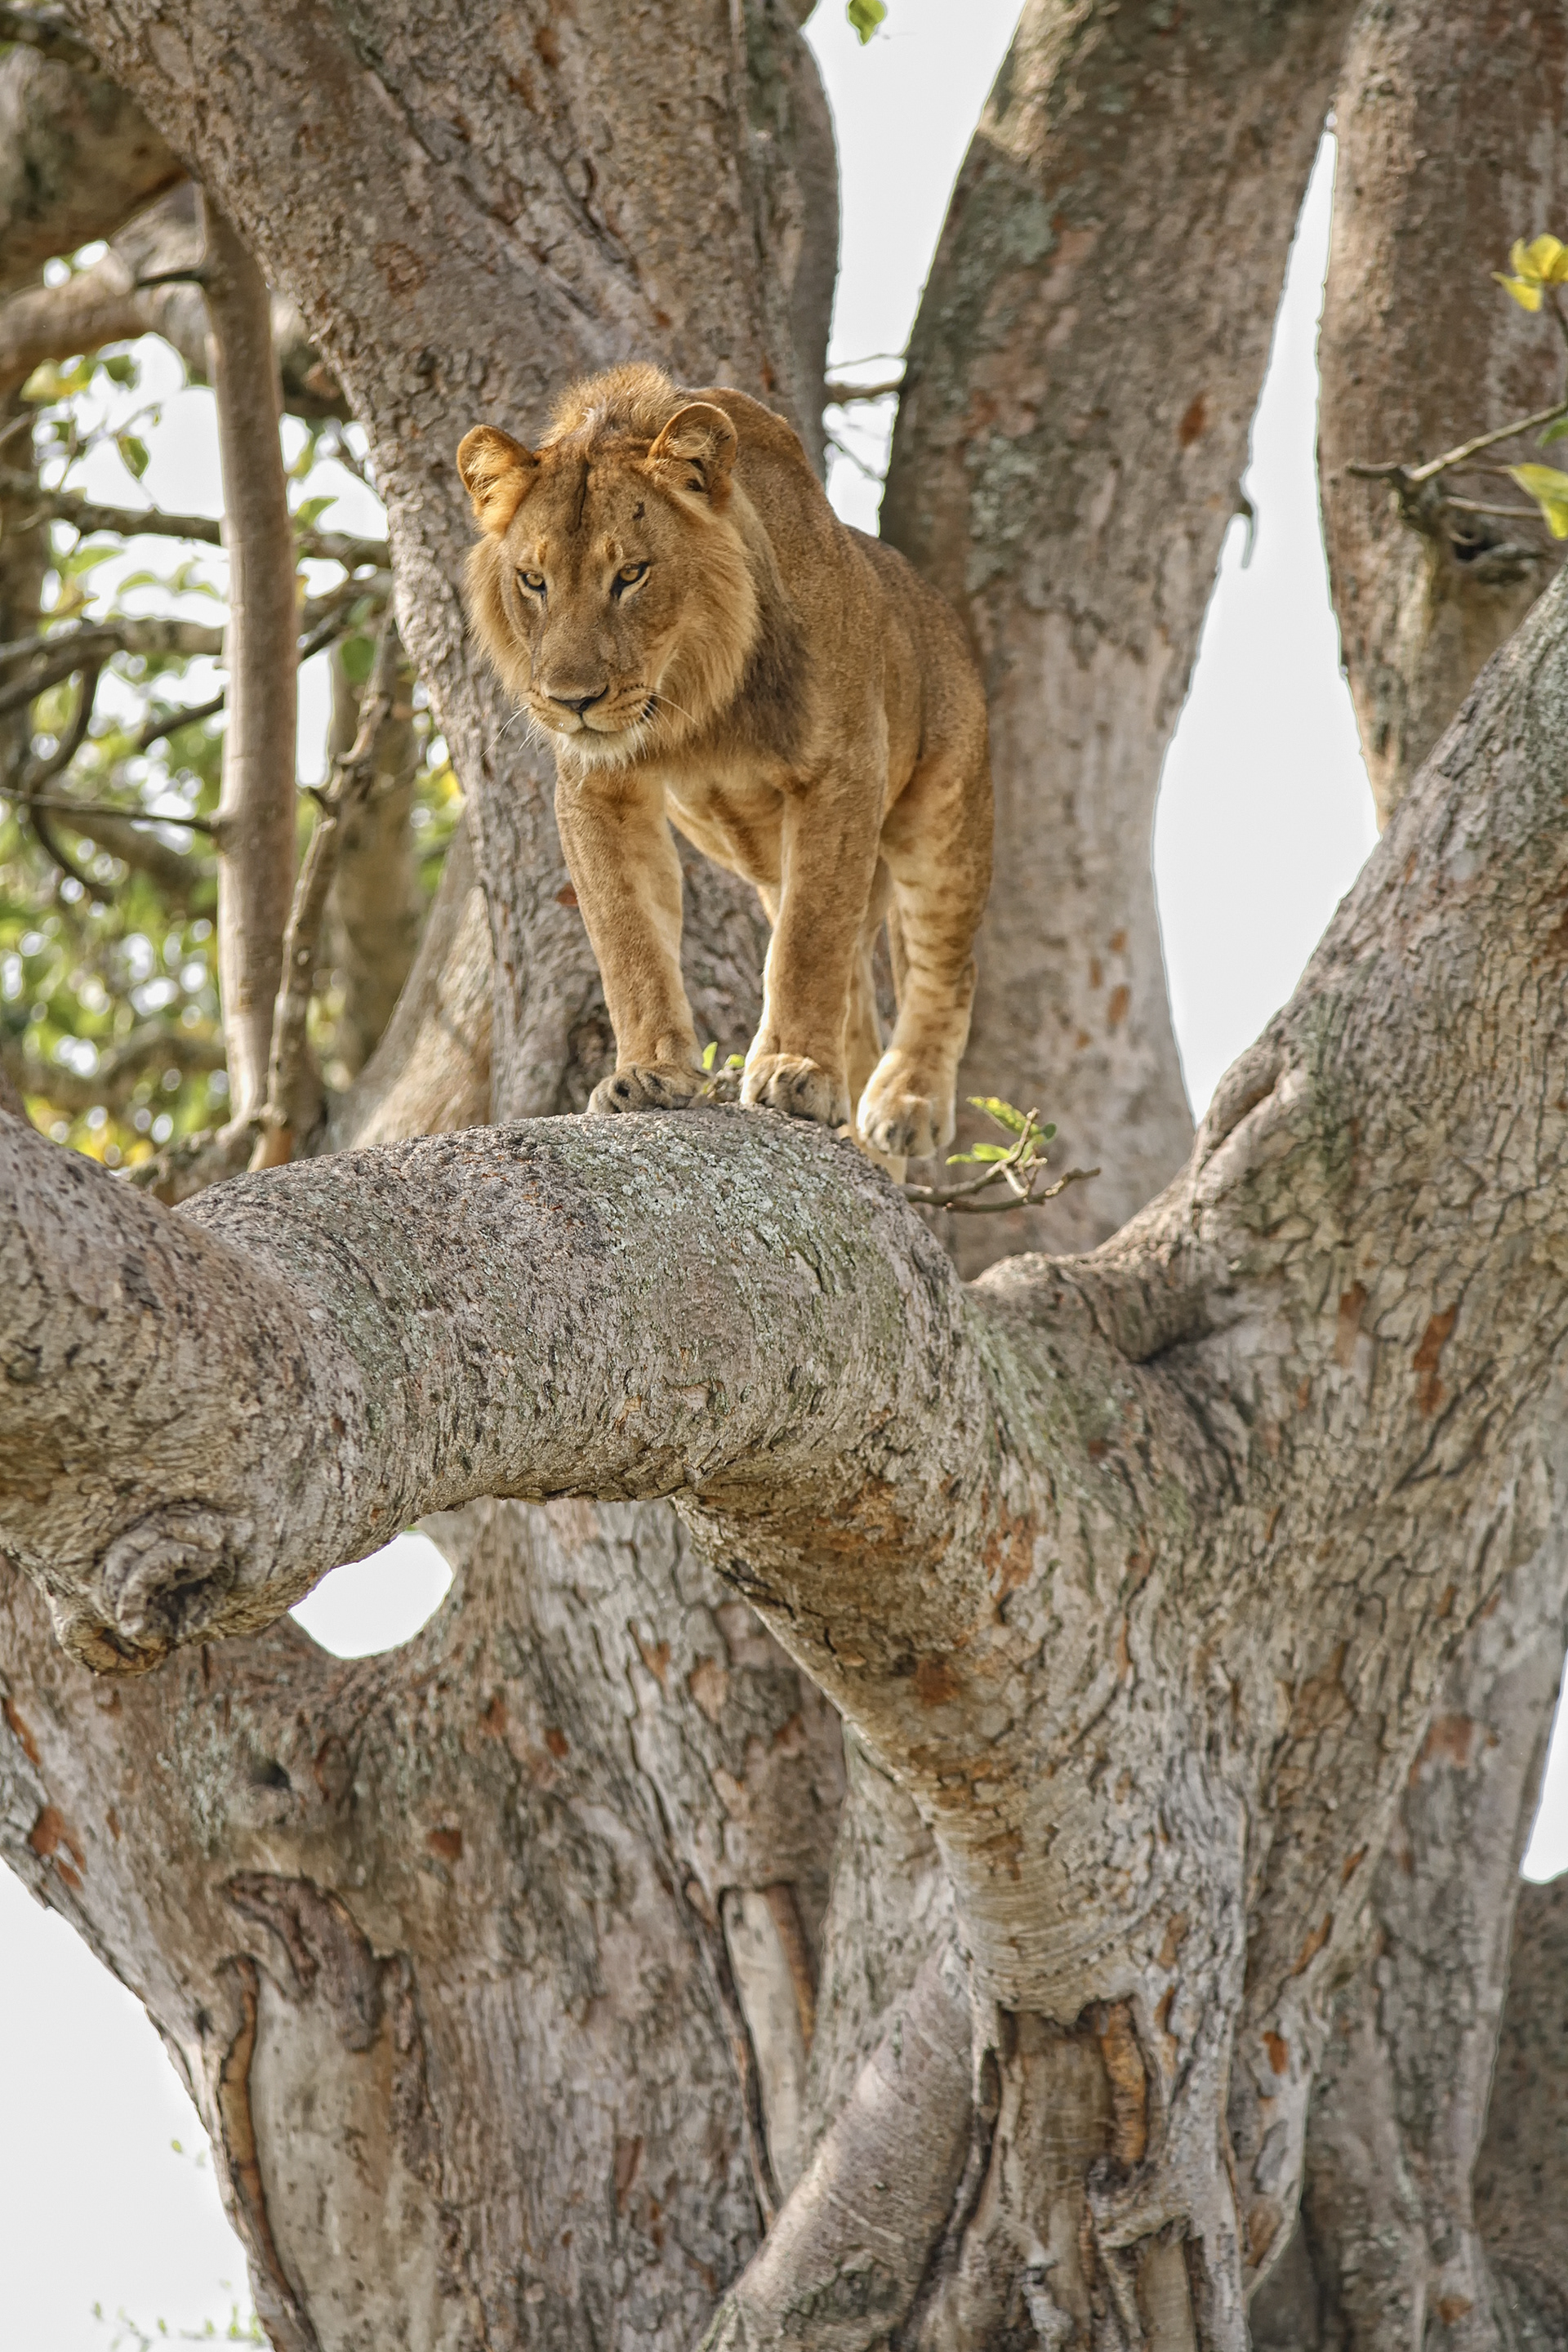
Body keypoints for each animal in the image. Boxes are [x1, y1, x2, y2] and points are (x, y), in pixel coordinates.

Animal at [456, 362, 992, 1167]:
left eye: (631, 575)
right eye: (534, 581)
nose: (572, 701)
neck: (692, 704)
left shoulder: (842, 772)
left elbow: (809, 941)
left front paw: (796, 1072)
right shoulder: (600, 790)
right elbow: (629, 938)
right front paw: (649, 1075)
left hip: (943, 816)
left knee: (943, 962)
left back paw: (905, 1099)